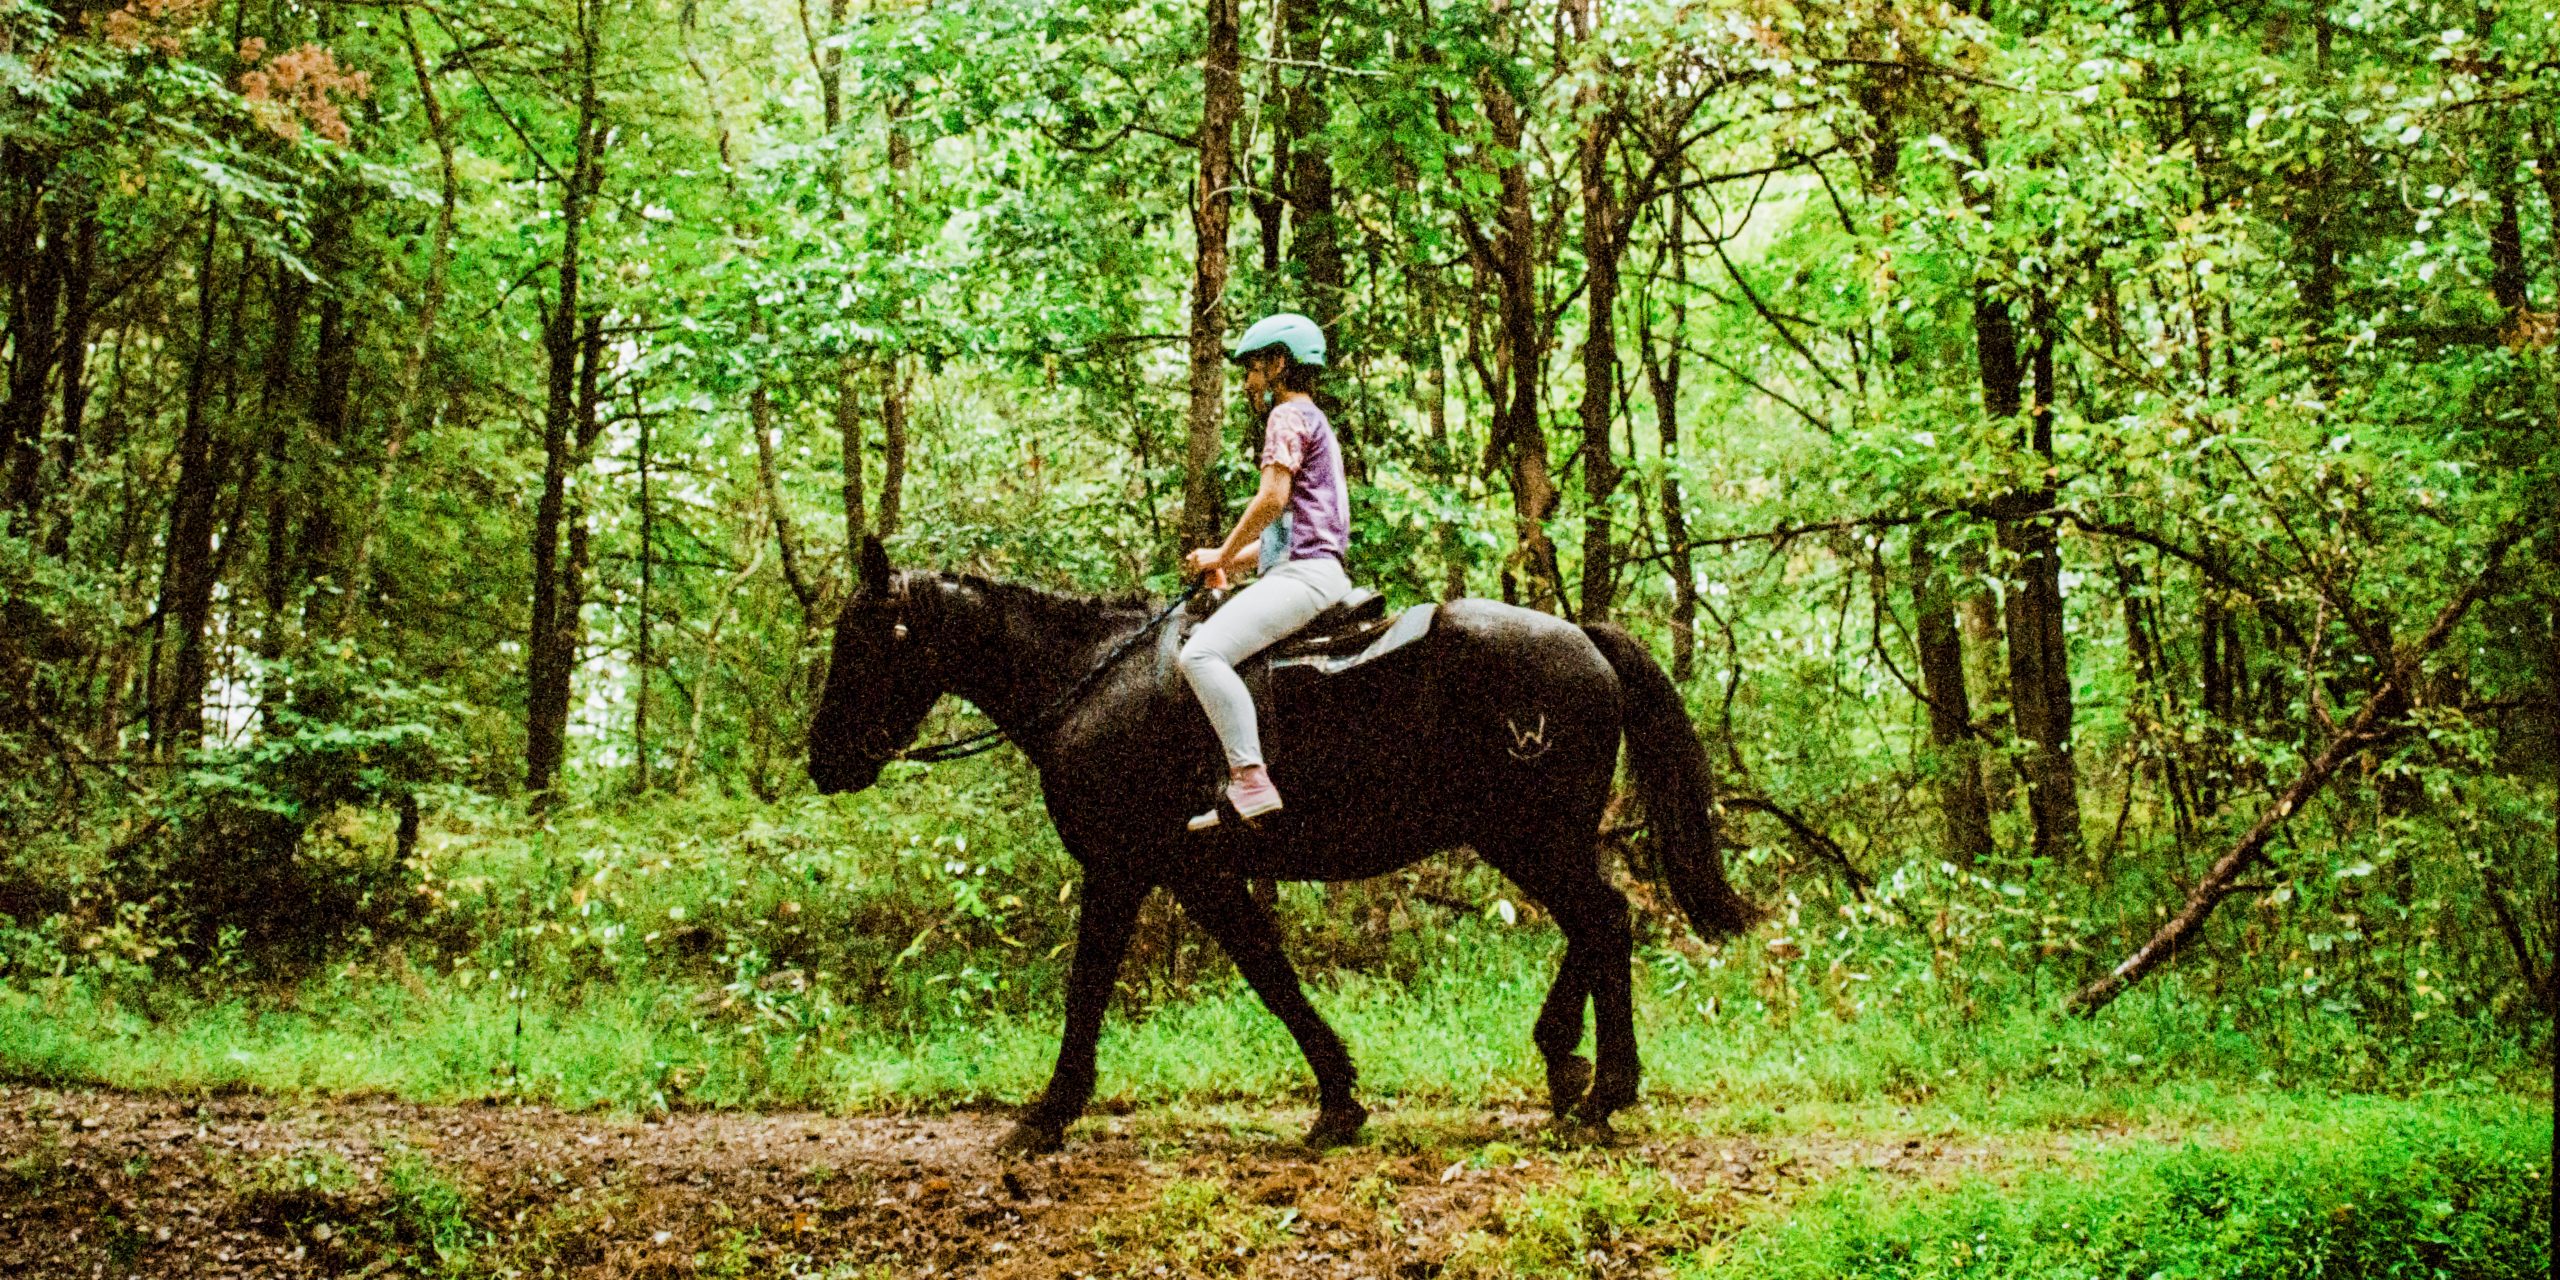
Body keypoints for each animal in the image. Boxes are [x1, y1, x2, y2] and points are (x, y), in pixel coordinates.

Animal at [808, 535, 1751, 1157]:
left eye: (861, 642)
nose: (822, 761)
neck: (1089, 684)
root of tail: (1586, 636)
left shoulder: (1130, 868)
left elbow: (1100, 989)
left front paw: (1046, 1114)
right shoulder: (1192, 874)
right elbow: (1271, 974)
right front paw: (1338, 1100)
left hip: (1531, 836)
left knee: (1605, 920)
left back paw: (1602, 1090)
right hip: (1532, 837)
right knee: (1597, 925)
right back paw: (1567, 1064)